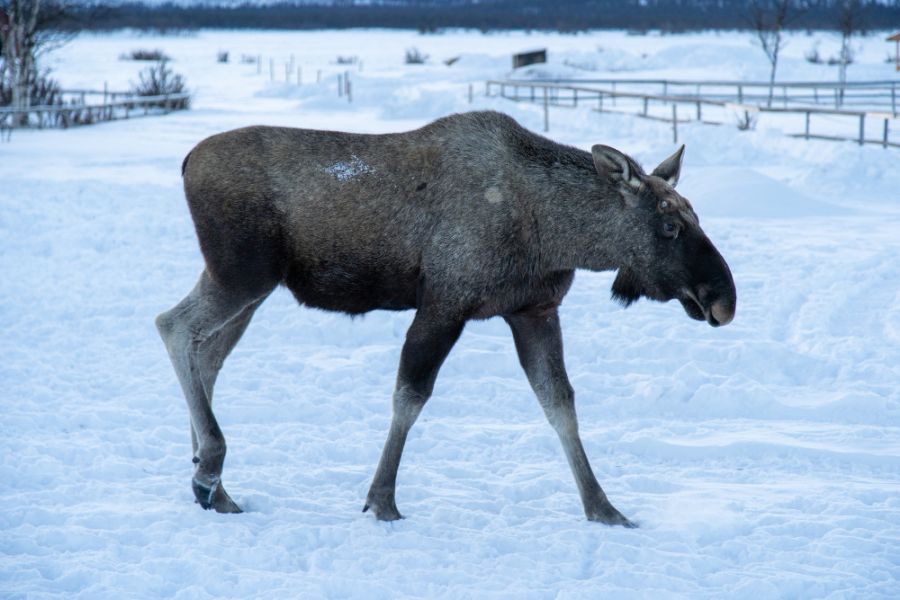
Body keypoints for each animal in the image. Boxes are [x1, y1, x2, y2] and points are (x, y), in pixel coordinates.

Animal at [158, 110, 736, 528]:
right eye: (667, 225)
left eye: (695, 216)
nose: (723, 299)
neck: (556, 233)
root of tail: (185, 161)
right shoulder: (445, 302)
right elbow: (409, 397)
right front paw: (382, 500)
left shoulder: (534, 310)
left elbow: (560, 404)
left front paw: (604, 509)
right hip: (243, 273)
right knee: (174, 326)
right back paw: (210, 465)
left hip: (252, 287)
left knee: (207, 353)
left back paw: (212, 483)